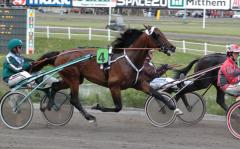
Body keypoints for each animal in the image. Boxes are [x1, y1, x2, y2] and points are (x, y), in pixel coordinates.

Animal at [31, 25, 176, 123]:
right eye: (156, 35)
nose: (172, 47)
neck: (128, 60)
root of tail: (60, 54)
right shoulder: (114, 86)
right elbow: (118, 107)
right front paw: (97, 106)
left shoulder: (139, 84)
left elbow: (157, 94)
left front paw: (172, 106)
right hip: (73, 79)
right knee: (74, 99)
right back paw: (89, 116)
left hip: (72, 79)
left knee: (54, 87)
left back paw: (49, 105)